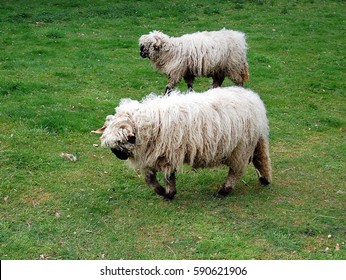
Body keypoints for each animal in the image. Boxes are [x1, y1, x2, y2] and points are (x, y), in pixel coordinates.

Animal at [93, 86, 272, 200]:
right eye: (112, 146)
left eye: (122, 142)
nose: (119, 156)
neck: (149, 124)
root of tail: (255, 101)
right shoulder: (153, 155)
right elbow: (149, 177)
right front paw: (159, 190)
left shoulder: (168, 155)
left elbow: (168, 176)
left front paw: (169, 193)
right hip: (253, 143)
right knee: (262, 158)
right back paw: (265, 179)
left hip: (240, 148)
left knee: (236, 171)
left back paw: (223, 191)